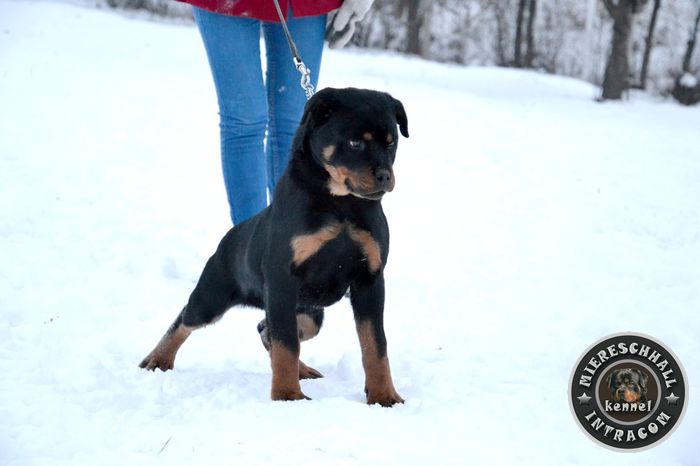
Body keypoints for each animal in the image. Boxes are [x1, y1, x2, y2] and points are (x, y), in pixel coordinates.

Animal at [139, 88, 408, 408]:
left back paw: (302, 369)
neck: (340, 204)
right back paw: (157, 360)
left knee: (268, 328)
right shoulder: (283, 279)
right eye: (355, 143)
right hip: (214, 296)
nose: (385, 175)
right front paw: (287, 395)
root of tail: (229, 236)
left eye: (391, 143)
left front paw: (384, 396)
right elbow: (286, 344)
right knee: (186, 319)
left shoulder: (369, 279)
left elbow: (375, 345)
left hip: (310, 311)